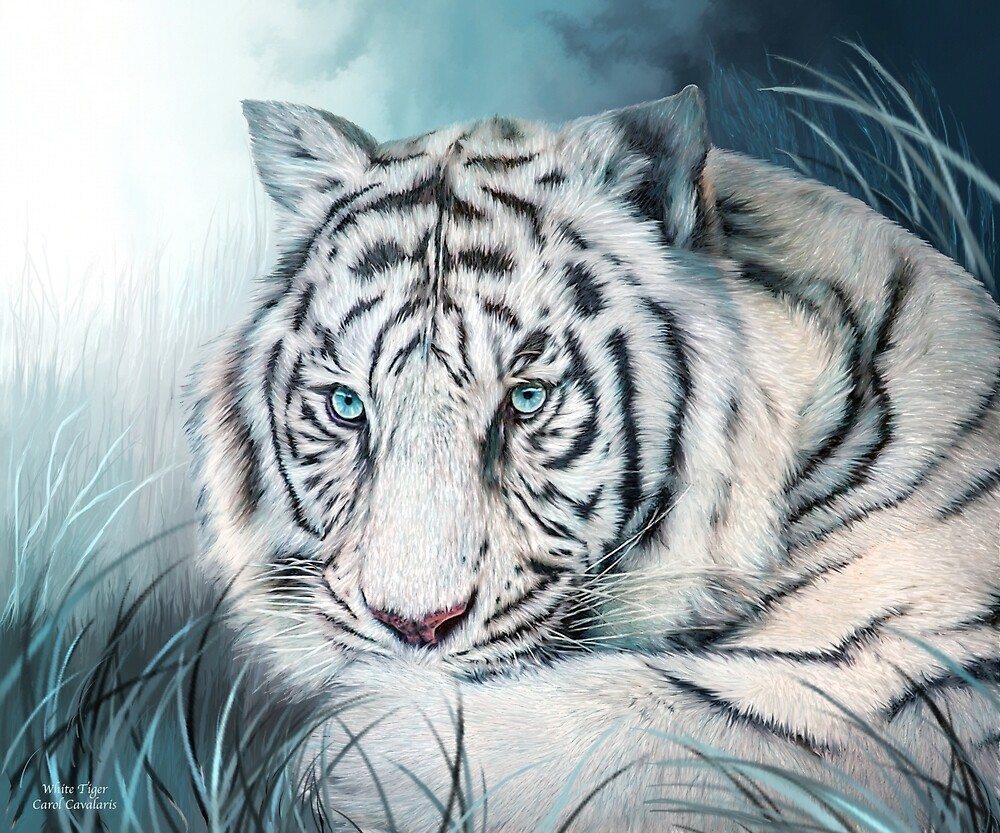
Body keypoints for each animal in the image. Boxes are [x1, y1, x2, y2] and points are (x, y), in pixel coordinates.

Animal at [183, 85, 1000, 832]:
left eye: (527, 398)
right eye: (347, 405)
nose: (414, 628)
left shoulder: (908, 674)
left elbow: (660, 728)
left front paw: (341, 755)